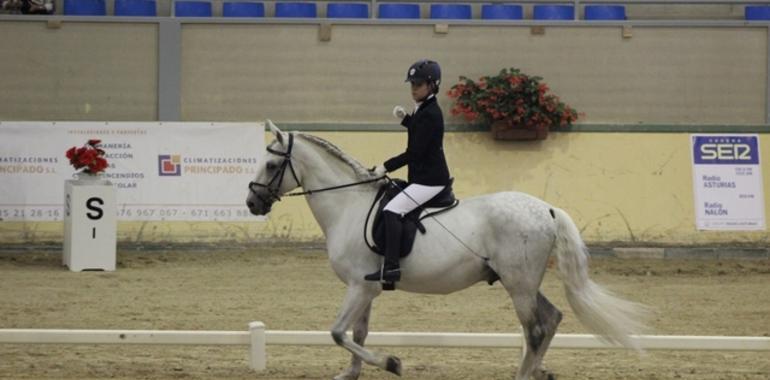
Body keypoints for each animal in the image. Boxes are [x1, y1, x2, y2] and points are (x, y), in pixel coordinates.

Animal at [246, 122, 648, 380]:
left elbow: (338, 332)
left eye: (271, 163)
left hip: (518, 284)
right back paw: (539, 373)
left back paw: (524, 375)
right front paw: (350, 373)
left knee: (534, 330)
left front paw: (392, 363)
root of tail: (546, 208)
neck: (348, 204)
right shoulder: (366, 287)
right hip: (522, 282)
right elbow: (356, 333)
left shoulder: (360, 287)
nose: (252, 203)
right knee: (551, 320)